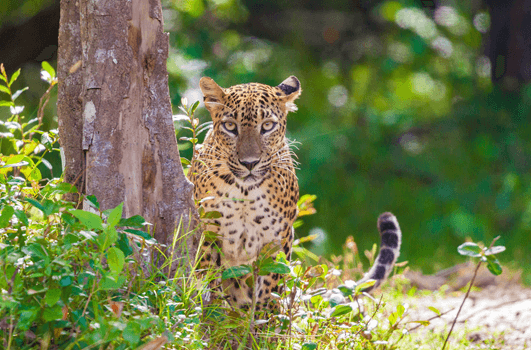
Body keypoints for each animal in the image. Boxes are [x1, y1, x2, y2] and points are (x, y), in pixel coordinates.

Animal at [189, 76, 402, 312]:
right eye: (230, 126)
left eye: (267, 126)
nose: (249, 163)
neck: (245, 193)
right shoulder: (208, 231)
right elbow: (209, 276)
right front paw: (216, 313)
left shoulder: (277, 236)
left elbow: (271, 282)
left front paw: (265, 319)